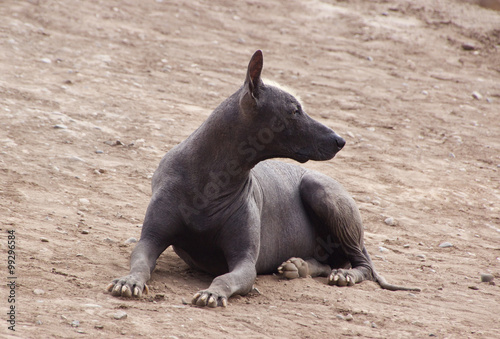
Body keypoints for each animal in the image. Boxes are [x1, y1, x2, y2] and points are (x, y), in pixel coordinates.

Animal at [107, 49, 420, 308]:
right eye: (294, 110)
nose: (340, 140)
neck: (212, 180)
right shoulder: (149, 240)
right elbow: (141, 263)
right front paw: (129, 281)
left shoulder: (245, 264)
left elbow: (225, 278)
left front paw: (213, 293)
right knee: (330, 262)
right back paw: (301, 267)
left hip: (319, 188)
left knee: (362, 264)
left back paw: (343, 275)